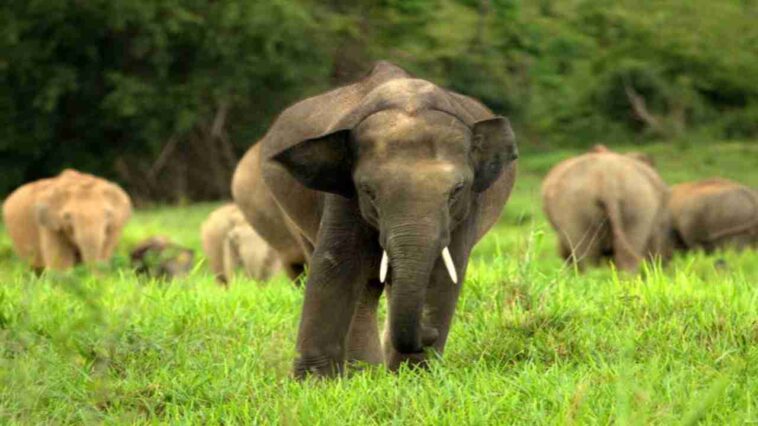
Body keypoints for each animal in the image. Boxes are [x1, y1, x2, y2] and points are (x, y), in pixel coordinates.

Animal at [3, 169, 132, 271]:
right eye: (67, 217)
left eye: (108, 214)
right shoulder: (50, 225)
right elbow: (60, 267)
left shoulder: (114, 226)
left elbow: (103, 256)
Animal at [233, 61, 518, 378]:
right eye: (369, 191)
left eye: (457, 190)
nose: (427, 333)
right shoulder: (344, 196)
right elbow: (335, 266)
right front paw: (313, 383)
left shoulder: (468, 208)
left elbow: (444, 275)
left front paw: (413, 377)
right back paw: (364, 372)